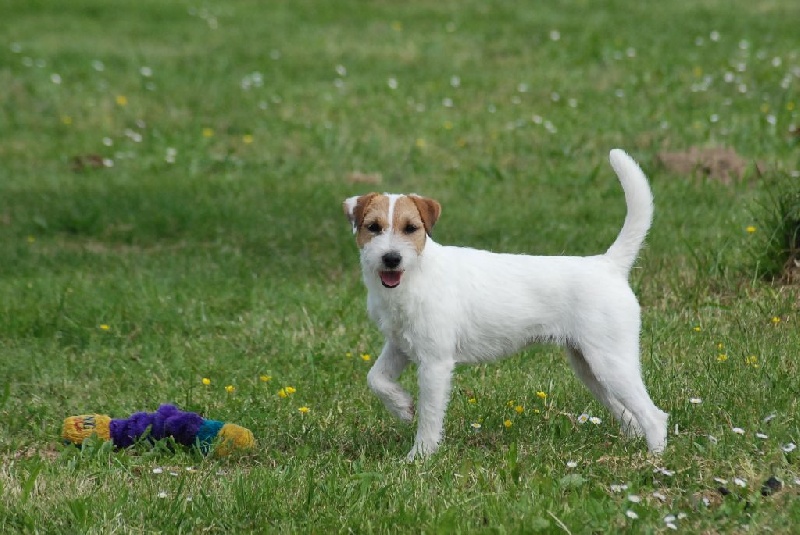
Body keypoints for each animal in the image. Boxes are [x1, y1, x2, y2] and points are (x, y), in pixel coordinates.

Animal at [344, 149, 668, 458]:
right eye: (373, 227)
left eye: (411, 228)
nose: (391, 258)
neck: (415, 274)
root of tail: (608, 265)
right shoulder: (399, 346)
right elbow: (376, 378)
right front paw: (402, 407)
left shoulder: (435, 363)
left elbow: (430, 416)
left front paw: (420, 457)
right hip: (589, 367)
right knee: (629, 414)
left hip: (611, 362)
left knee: (654, 415)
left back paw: (654, 460)